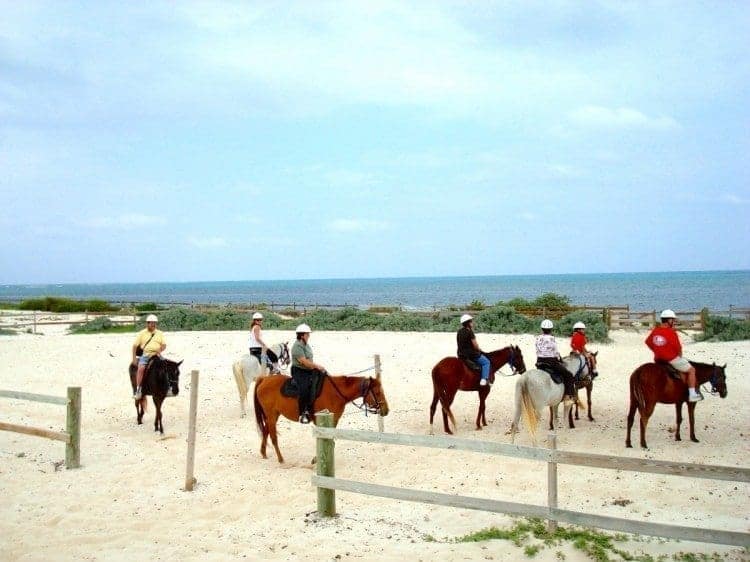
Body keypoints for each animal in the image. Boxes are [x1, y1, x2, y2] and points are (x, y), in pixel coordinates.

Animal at [254, 374, 390, 462]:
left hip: (273, 415)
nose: (386, 410)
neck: (336, 393)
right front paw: (317, 459)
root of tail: (264, 379)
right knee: (273, 436)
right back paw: (280, 459)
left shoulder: (333, 421)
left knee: (265, 431)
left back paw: (263, 453)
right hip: (271, 415)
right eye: (378, 392)